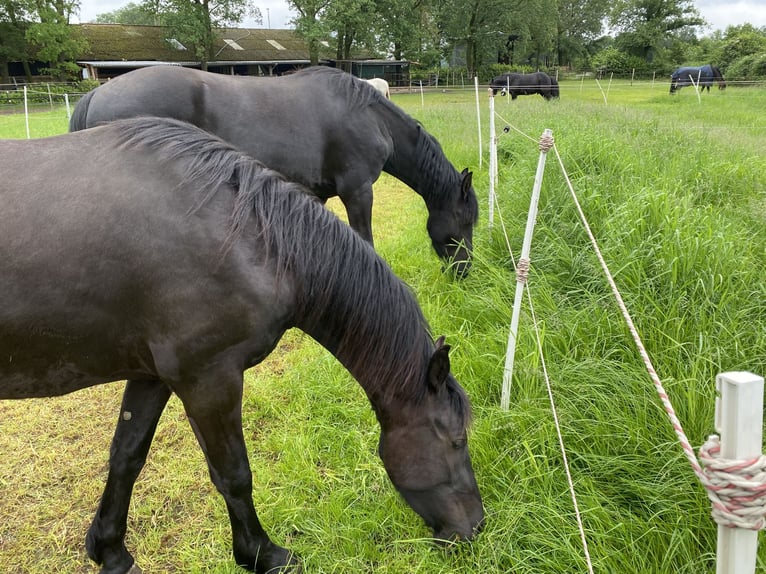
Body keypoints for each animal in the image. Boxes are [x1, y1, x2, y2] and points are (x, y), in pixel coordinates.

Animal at [1, 117, 486, 574]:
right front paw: (262, 554)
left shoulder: (153, 376)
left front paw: (111, 552)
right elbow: (234, 475)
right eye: (457, 440)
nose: (476, 527)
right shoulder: (208, 382)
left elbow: (126, 456)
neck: (246, 239)